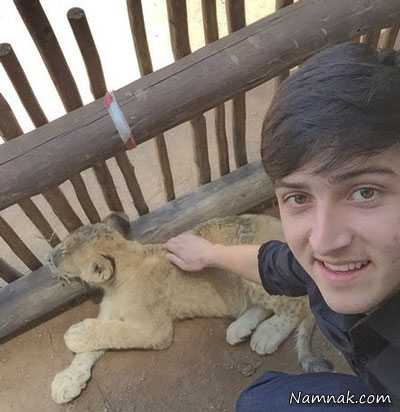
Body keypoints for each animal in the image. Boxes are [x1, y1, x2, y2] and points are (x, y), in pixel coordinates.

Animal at [48, 213, 331, 404]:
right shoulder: (109, 315)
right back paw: (240, 329)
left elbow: (113, 333)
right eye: (62, 245)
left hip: (260, 269)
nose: (48, 257)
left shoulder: (156, 330)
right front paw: (66, 381)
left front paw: (74, 335)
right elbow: (90, 350)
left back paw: (267, 335)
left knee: (298, 305)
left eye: (63, 253)